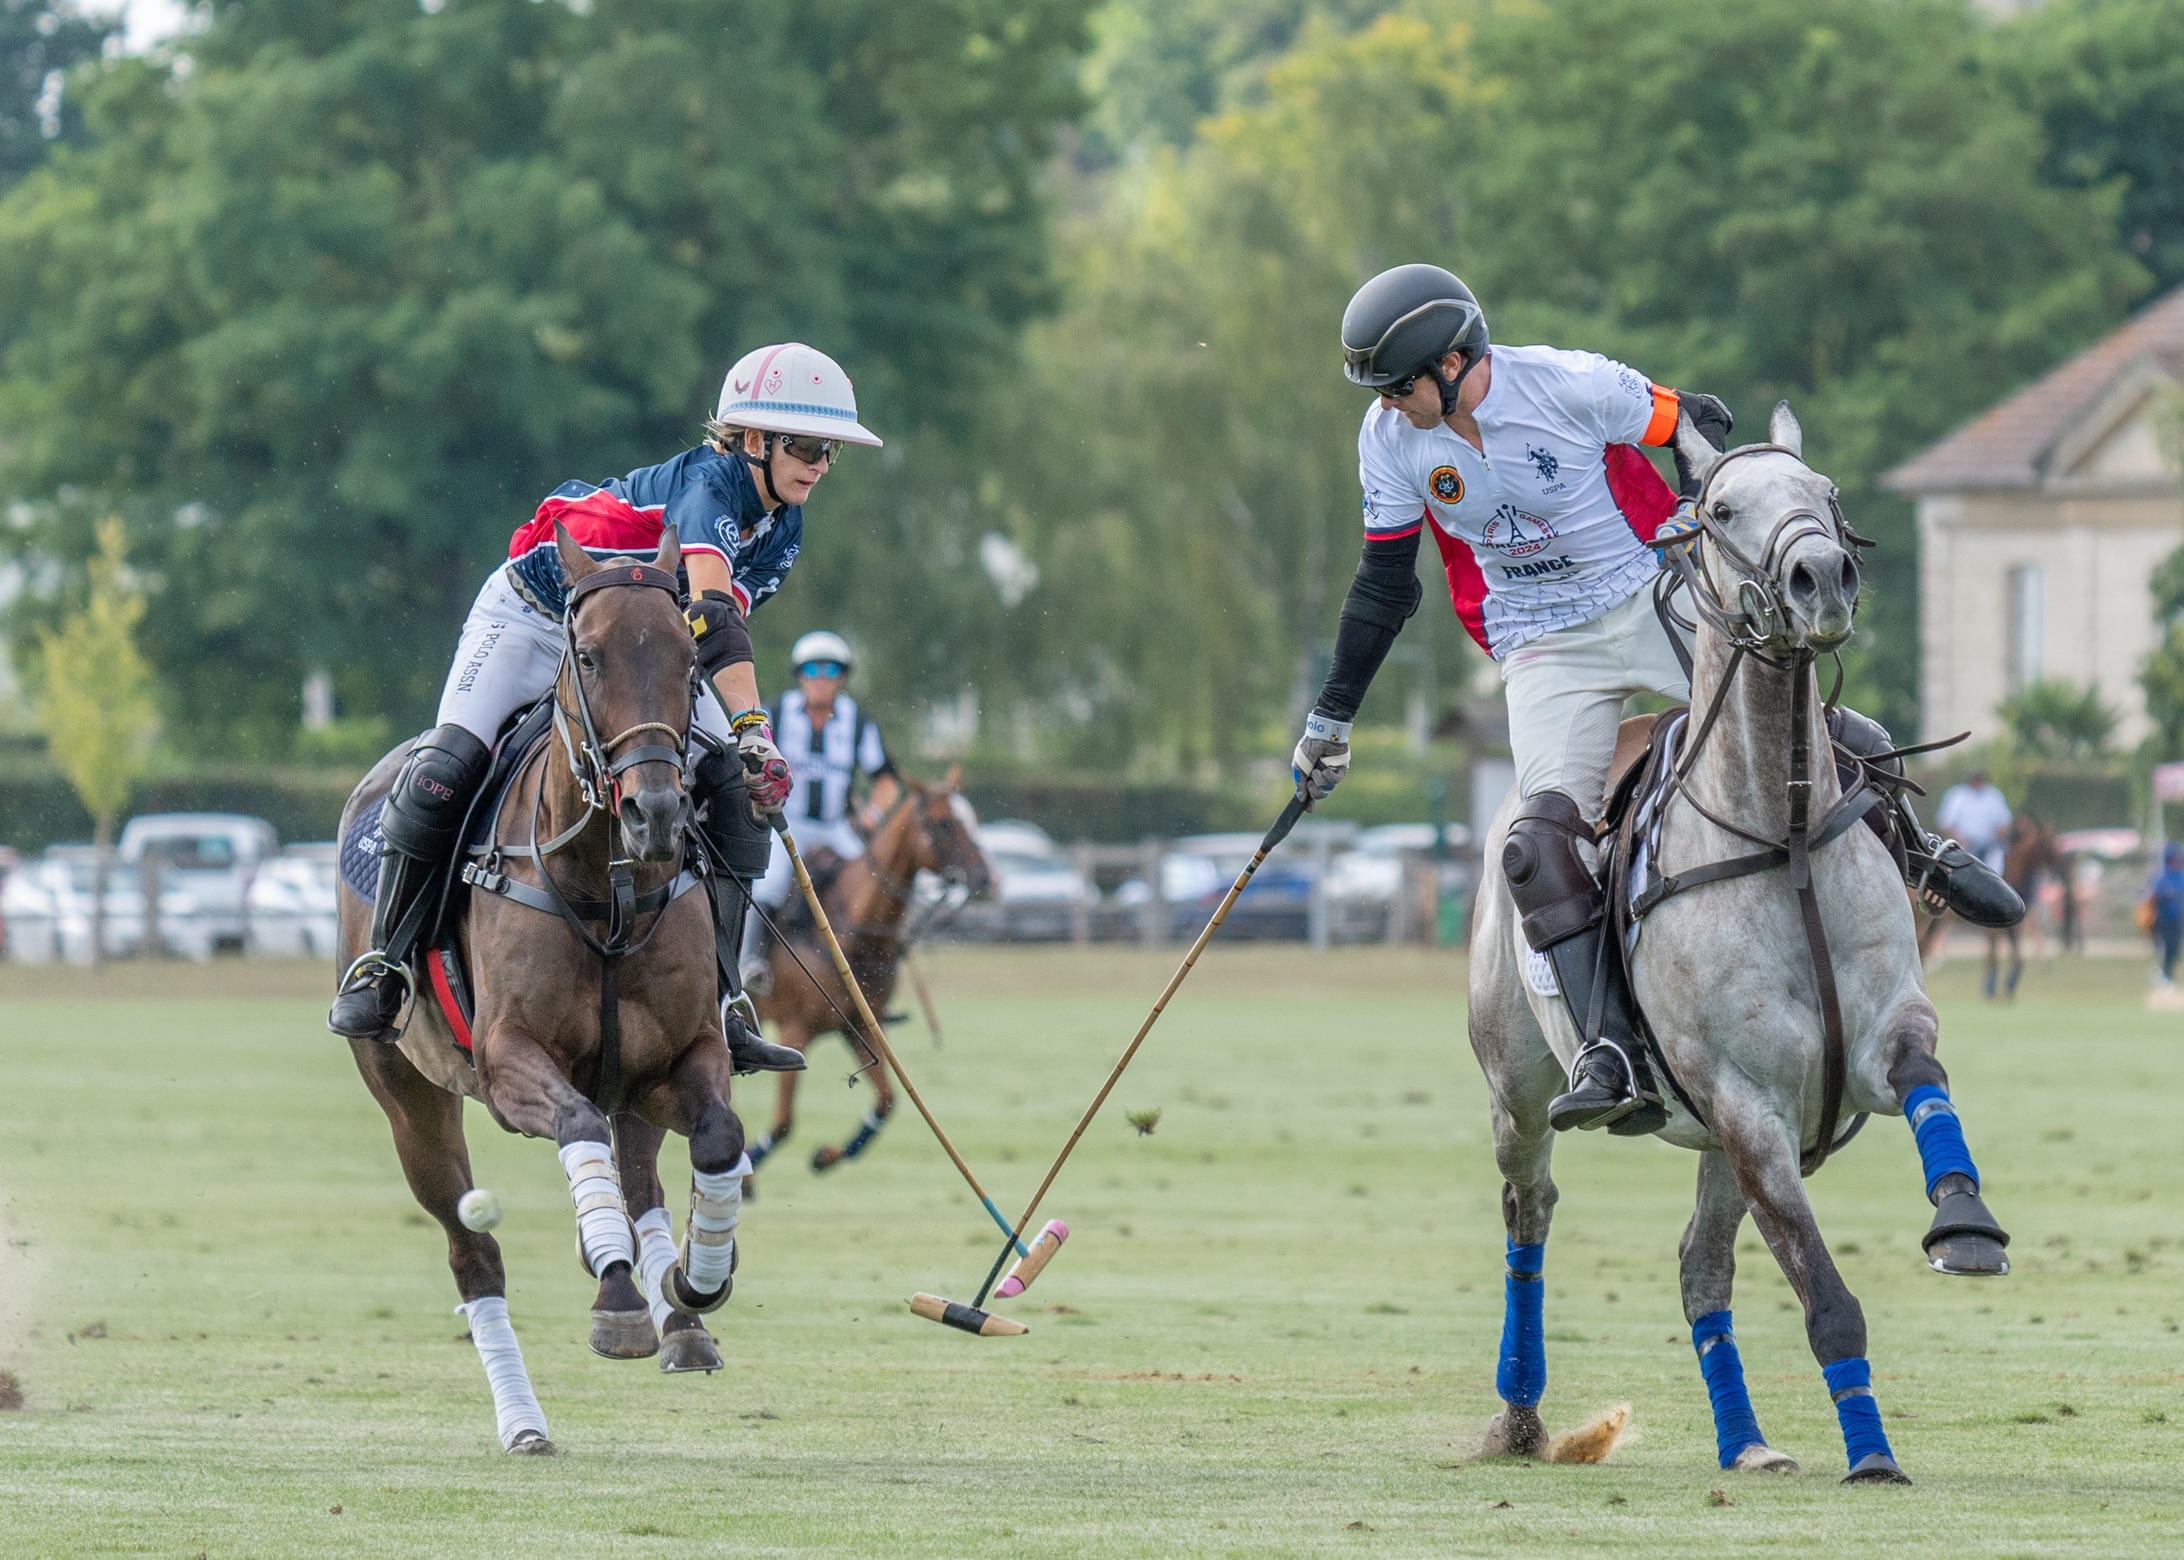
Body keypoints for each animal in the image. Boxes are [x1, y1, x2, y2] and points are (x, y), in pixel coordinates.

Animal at [334, 528, 742, 1450]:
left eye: (688, 662)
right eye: (587, 656)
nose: (656, 816)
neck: (606, 890)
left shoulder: (685, 1054)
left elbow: (719, 1138)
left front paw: (696, 1281)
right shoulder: (506, 1062)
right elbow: (576, 1125)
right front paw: (619, 1294)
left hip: (632, 1085)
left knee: (642, 1179)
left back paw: (680, 1321)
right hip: (409, 1098)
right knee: (473, 1253)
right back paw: (525, 1421)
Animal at [746, 773, 995, 1171]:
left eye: (972, 819)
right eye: (943, 823)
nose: (986, 878)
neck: (853, 933)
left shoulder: (860, 1027)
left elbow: (887, 1100)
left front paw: (827, 1156)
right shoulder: (794, 1029)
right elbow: (783, 1123)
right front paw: (747, 1169)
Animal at [1467, 404, 2009, 1485]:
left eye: (1827, 493)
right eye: (1719, 510)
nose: (1822, 577)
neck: (1780, 830)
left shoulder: (1874, 1041)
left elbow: (1926, 1081)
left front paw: (1965, 1223)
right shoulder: (1746, 1100)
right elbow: (1822, 1288)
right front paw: (1872, 1453)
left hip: (1710, 1138)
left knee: (1698, 1262)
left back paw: (1745, 1441)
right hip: (1521, 1093)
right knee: (1528, 1215)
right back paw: (1522, 1414)